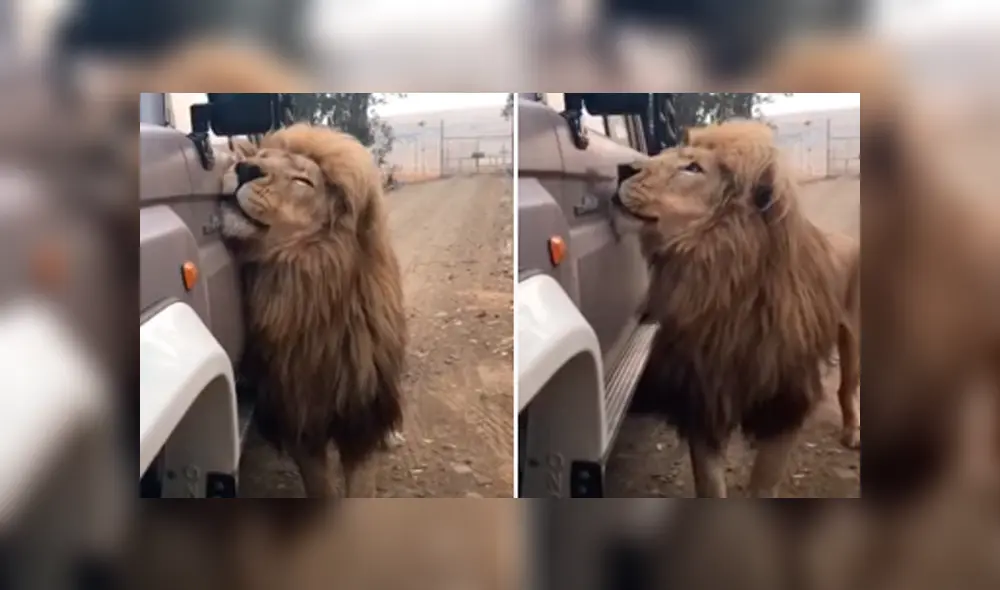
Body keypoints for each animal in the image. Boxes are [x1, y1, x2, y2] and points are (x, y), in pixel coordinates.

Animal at [219, 123, 407, 497]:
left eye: (303, 181)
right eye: (261, 156)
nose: (245, 169)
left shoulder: (358, 417)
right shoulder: (299, 413)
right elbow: (319, 486)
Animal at [613, 120, 860, 497]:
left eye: (693, 168)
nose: (623, 168)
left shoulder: (783, 405)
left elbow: (763, 486)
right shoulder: (704, 398)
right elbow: (710, 484)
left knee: (847, 387)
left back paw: (851, 433)